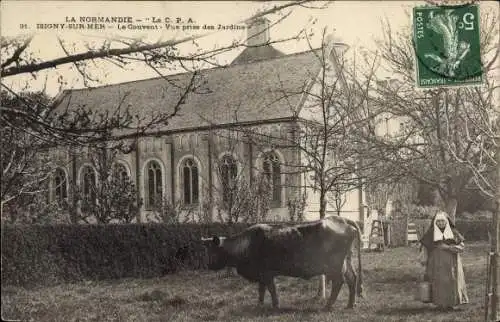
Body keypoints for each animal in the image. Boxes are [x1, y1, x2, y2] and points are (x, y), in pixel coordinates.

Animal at [201, 216, 362, 310]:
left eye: (214, 251)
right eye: (206, 250)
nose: (208, 265)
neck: (246, 244)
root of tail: (342, 220)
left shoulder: (266, 273)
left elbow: (271, 289)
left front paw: (275, 305)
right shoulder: (261, 274)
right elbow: (261, 289)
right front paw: (259, 304)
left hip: (335, 266)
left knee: (339, 282)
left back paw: (328, 305)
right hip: (346, 262)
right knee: (352, 279)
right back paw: (350, 304)